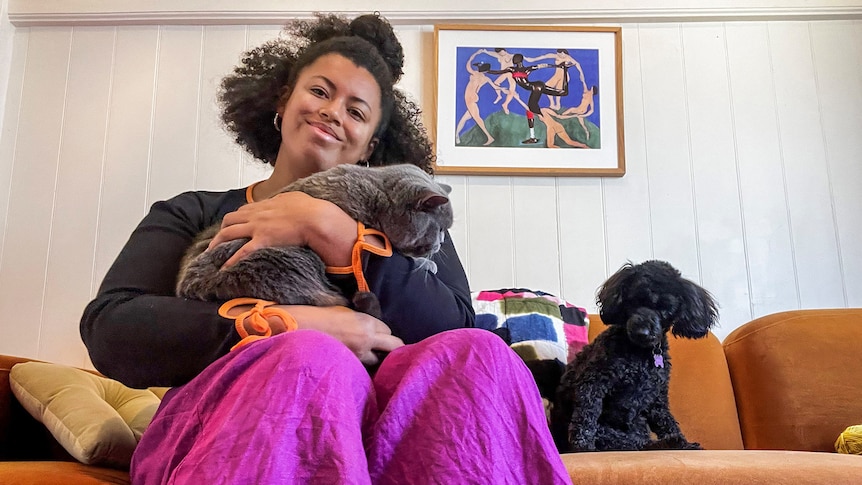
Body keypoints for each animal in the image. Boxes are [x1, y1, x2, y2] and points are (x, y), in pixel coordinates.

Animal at [552, 260, 724, 452]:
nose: (642, 332)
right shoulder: (593, 381)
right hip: (609, 432)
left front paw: (684, 441)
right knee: (632, 442)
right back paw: (669, 443)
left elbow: (667, 422)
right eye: (633, 301)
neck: (641, 353)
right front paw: (582, 444)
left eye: (666, 308)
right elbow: (587, 413)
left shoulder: (657, 398)